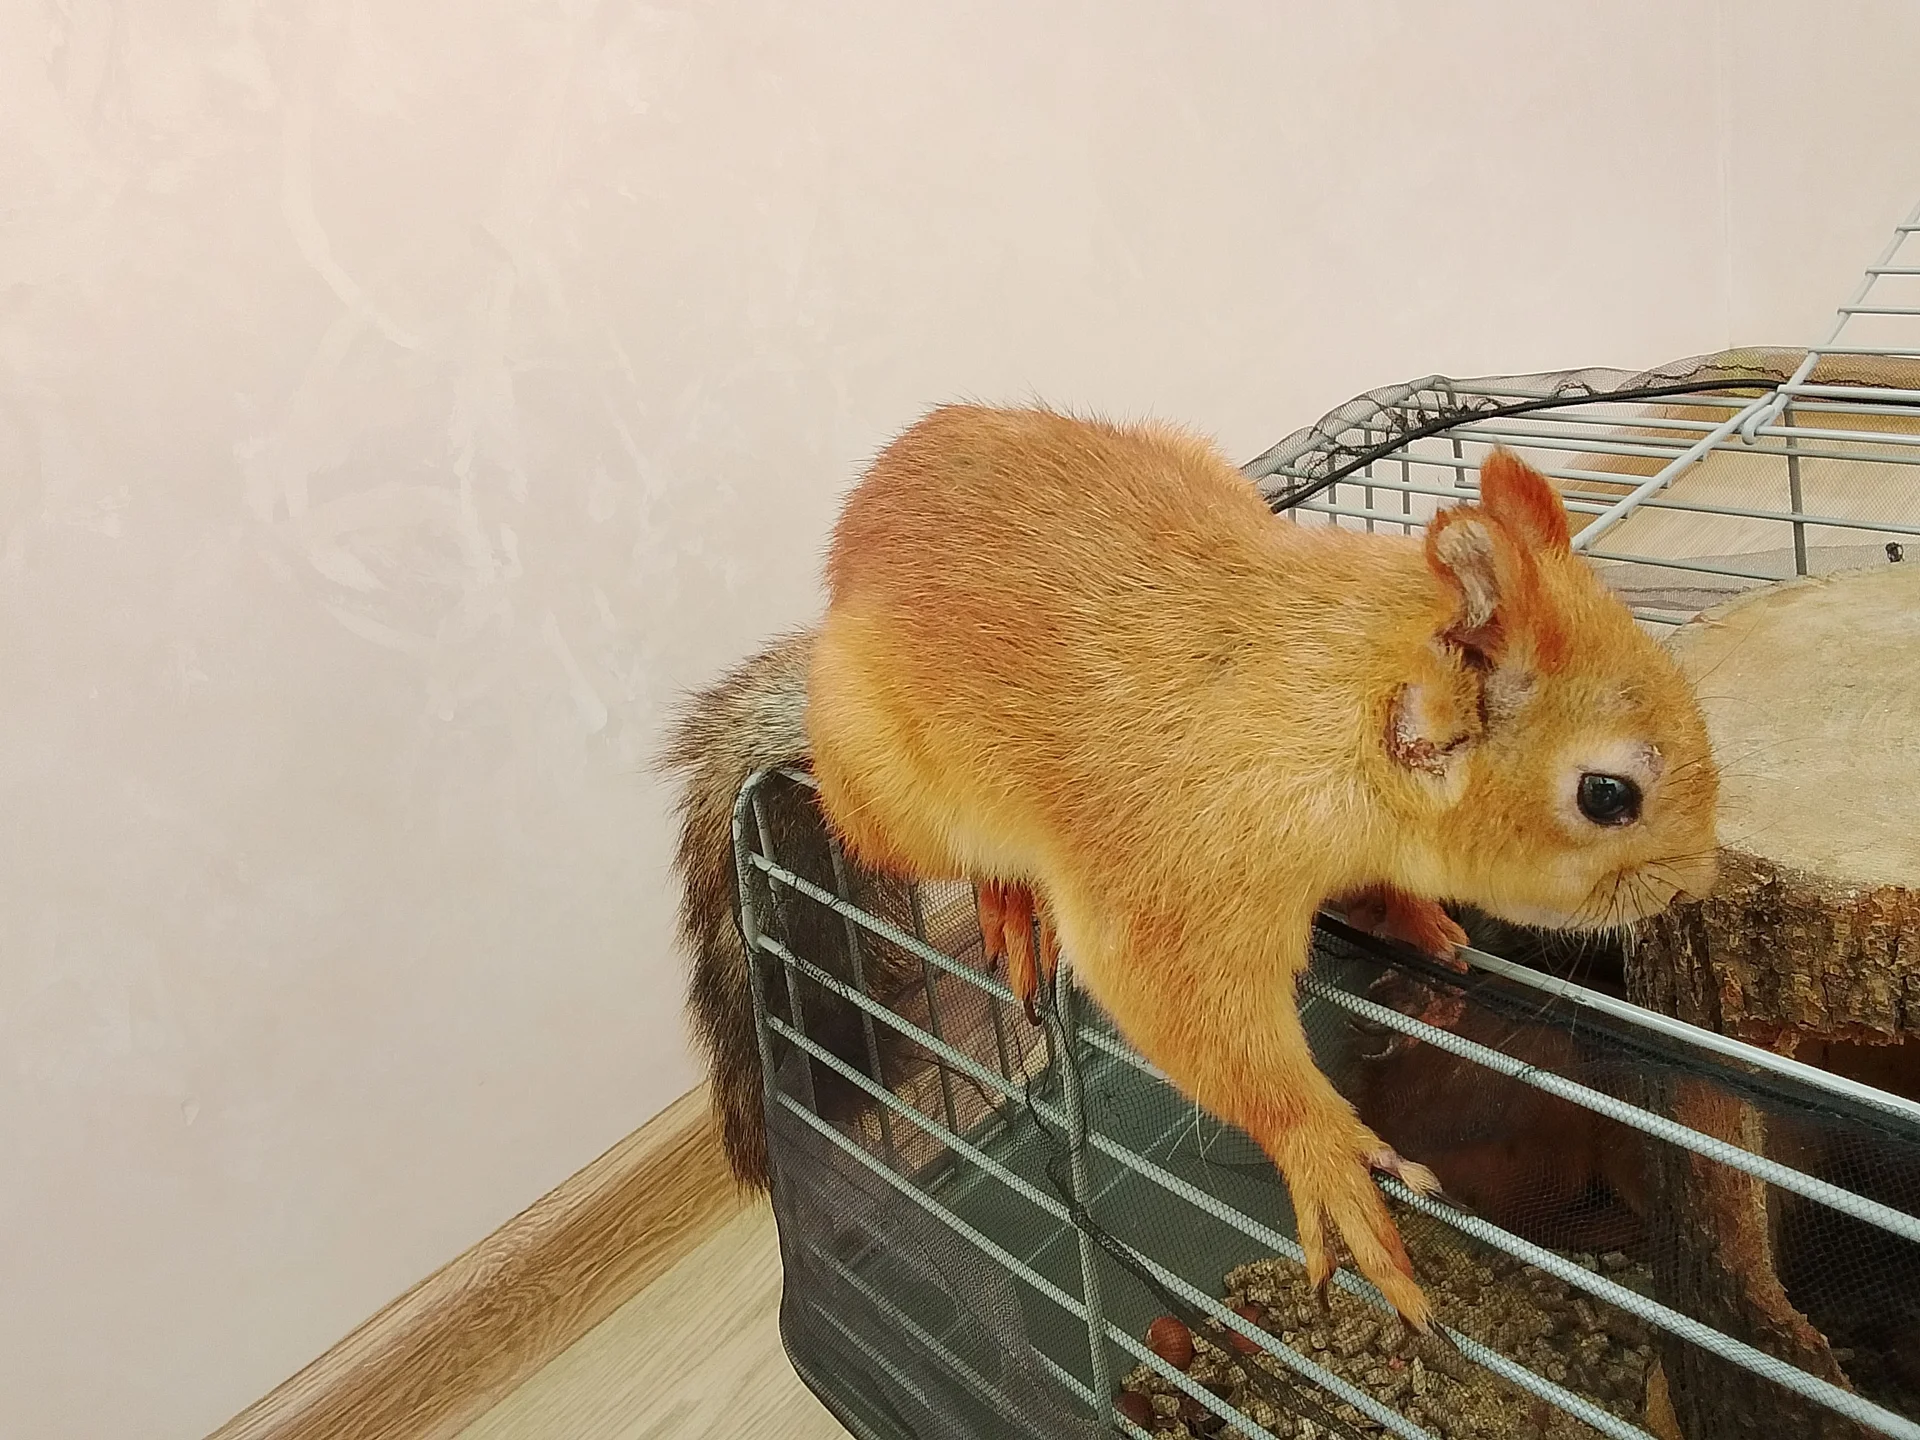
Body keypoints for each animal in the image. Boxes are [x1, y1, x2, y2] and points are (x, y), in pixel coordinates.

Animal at [666, 405, 1719, 1329]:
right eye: (1607, 795)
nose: (1695, 881)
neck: (1319, 710)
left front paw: (1417, 918)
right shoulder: (1167, 879)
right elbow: (1197, 1018)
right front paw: (1324, 1154)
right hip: (892, 796)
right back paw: (1009, 903)